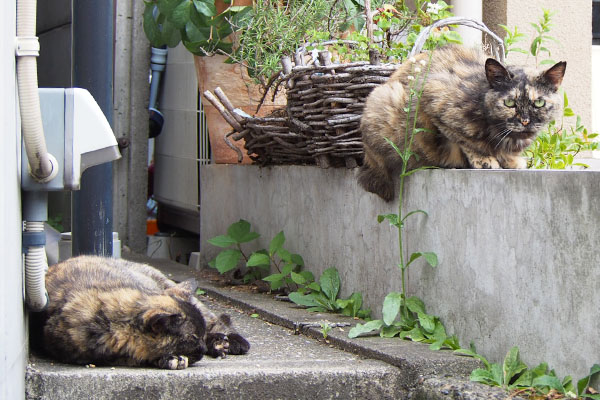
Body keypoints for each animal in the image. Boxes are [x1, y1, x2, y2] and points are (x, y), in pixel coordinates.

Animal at [33, 256, 248, 368]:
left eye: (198, 337)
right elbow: (129, 356)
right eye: (193, 338)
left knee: (218, 320)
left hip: (171, 287)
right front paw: (170, 359)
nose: (203, 349)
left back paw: (225, 343)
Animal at [360, 44, 568, 202]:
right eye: (509, 103)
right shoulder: (431, 97)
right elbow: (465, 140)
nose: (525, 121)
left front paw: (511, 160)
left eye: (539, 103)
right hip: (384, 99)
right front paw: (485, 160)